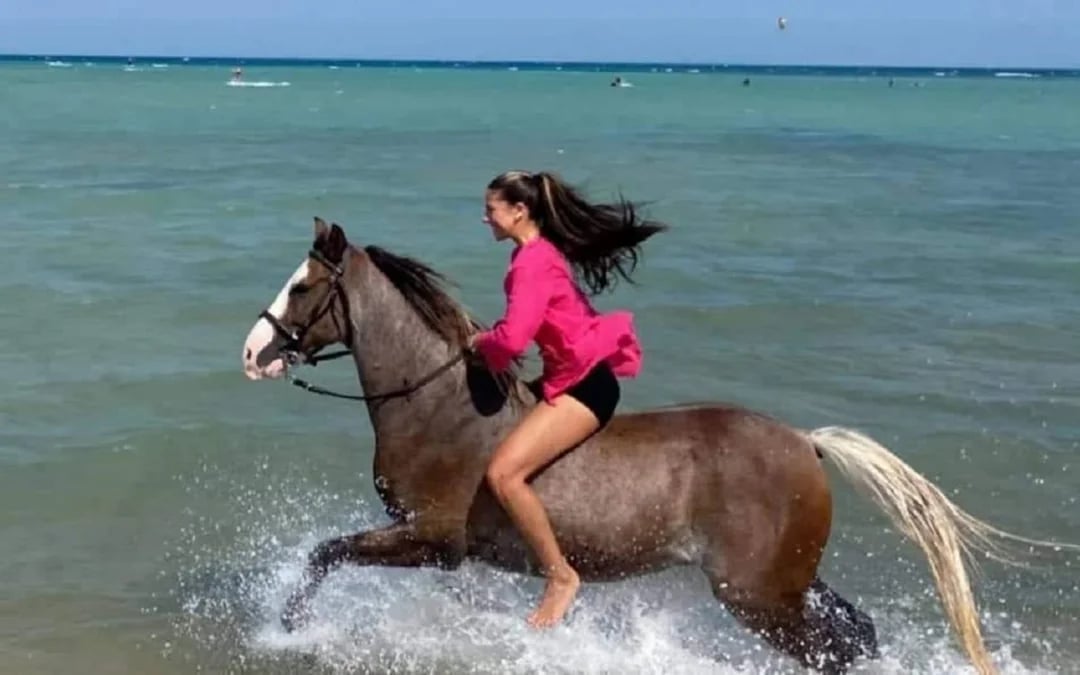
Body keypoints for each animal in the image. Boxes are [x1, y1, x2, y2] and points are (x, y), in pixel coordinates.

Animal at [240, 218, 1059, 674]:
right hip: (787, 581)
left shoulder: (433, 538)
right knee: (856, 634)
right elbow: (329, 556)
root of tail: (808, 443)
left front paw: (289, 628)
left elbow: (325, 555)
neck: (440, 404)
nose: (252, 352)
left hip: (758, 596)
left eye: (302, 287)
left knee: (834, 648)